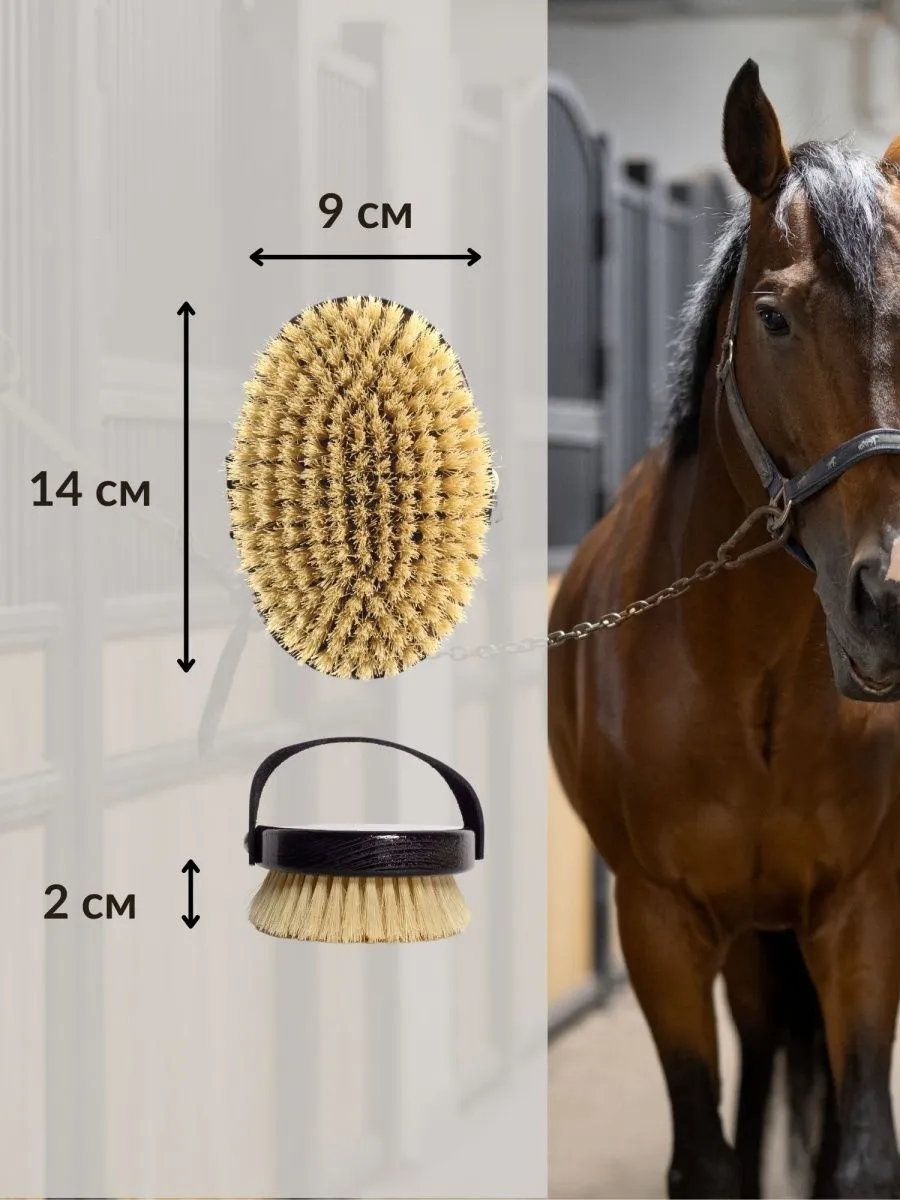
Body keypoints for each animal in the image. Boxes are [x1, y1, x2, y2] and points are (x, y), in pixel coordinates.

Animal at [549, 59, 900, 1200]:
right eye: (775, 318)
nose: (890, 599)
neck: (750, 682)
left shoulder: (860, 913)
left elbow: (859, 1153)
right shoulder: (658, 925)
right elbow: (707, 1159)